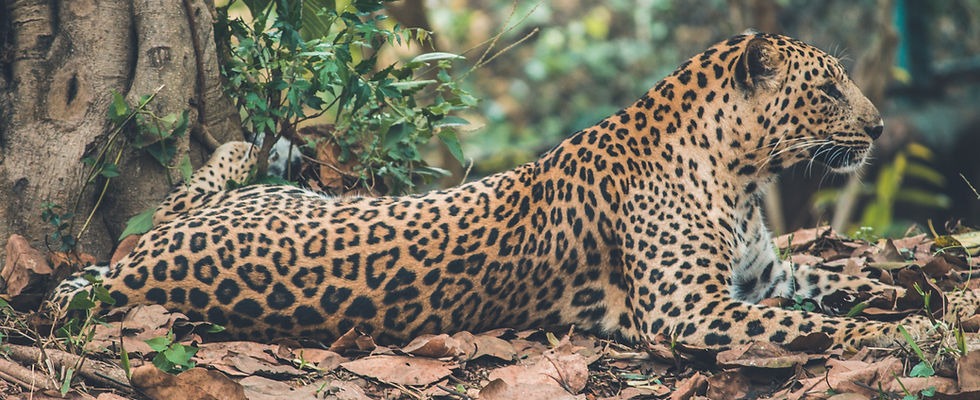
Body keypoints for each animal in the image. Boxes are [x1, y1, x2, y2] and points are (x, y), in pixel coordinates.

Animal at [51, 32, 980, 350]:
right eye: (827, 89)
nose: (880, 130)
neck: (743, 176)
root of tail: (132, 278)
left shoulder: (766, 271)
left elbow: (837, 277)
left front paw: (918, 294)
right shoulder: (690, 311)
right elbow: (802, 323)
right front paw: (897, 334)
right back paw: (250, 142)